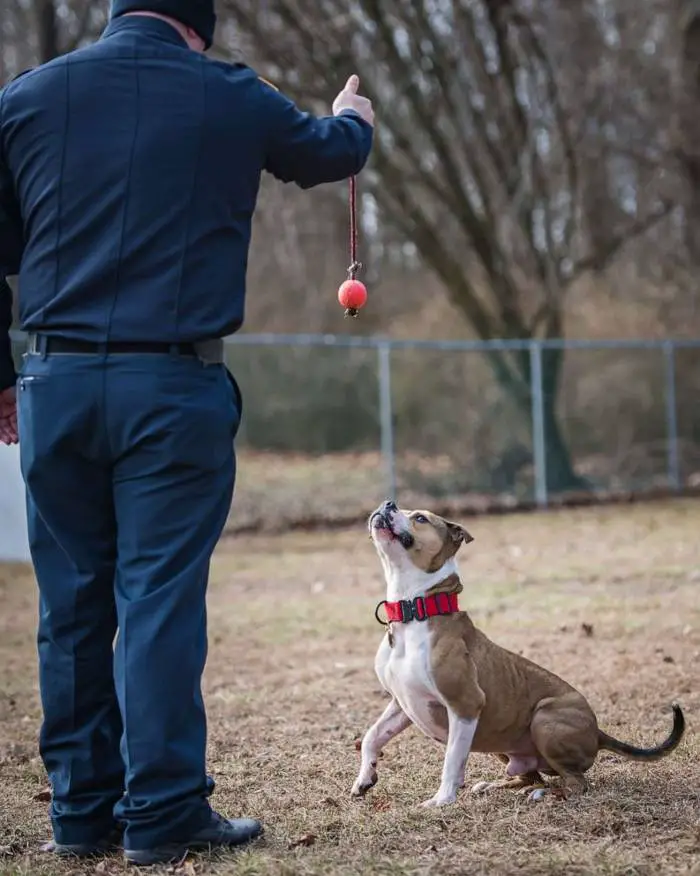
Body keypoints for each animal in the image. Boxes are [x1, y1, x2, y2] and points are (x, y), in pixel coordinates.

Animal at [350, 500, 684, 808]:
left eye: (420, 518)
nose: (387, 503)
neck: (414, 610)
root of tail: (599, 732)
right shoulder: (401, 703)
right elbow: (372, 737)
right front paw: (365, 777)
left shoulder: (465, 704)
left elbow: (452, 761)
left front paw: (441, 800)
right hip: (499, 732)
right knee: (530, 774)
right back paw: (499, 786)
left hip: (543, 718)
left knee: (576, 783)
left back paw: (547, 796)